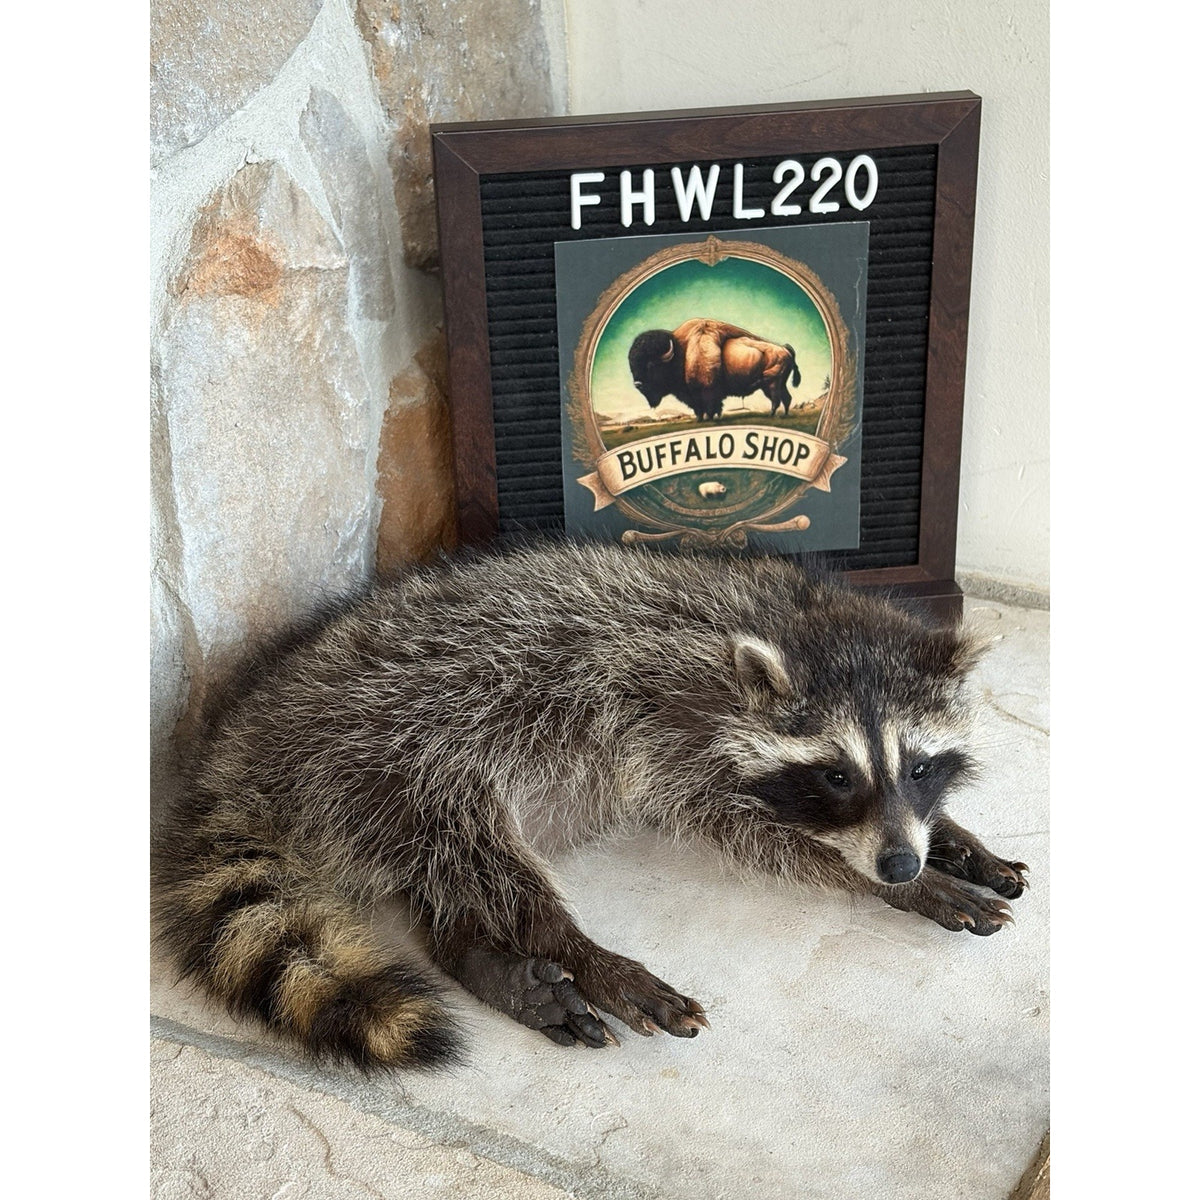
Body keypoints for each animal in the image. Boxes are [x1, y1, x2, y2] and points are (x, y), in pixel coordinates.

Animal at [153, 540, 1028, 1071]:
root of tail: (245, 739)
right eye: (838, 776)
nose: (899, 863)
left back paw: (468, 950)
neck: (792, 620)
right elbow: (753, 832)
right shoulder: (672, 731)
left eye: (919, 766)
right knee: (477, 851)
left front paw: (952, 840)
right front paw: (902, 882)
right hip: (394, 745)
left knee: (442, 882)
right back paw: (569, 947)